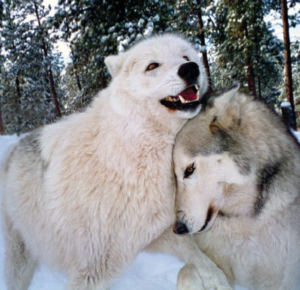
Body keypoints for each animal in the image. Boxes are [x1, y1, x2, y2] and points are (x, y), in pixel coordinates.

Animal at [0, 35, 232, 290]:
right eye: (152, 66)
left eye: (185, 57)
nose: (191, 68)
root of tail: (14, 147)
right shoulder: (91, 270)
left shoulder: (149, 233)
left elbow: (193, 250)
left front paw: (216, 277)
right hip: (20, 256)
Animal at [173, 86, 300, 290]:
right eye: (173, 175)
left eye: (189, 169)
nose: (178, 229)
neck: (243, 216)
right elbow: (187, 272)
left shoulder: (281, 279)